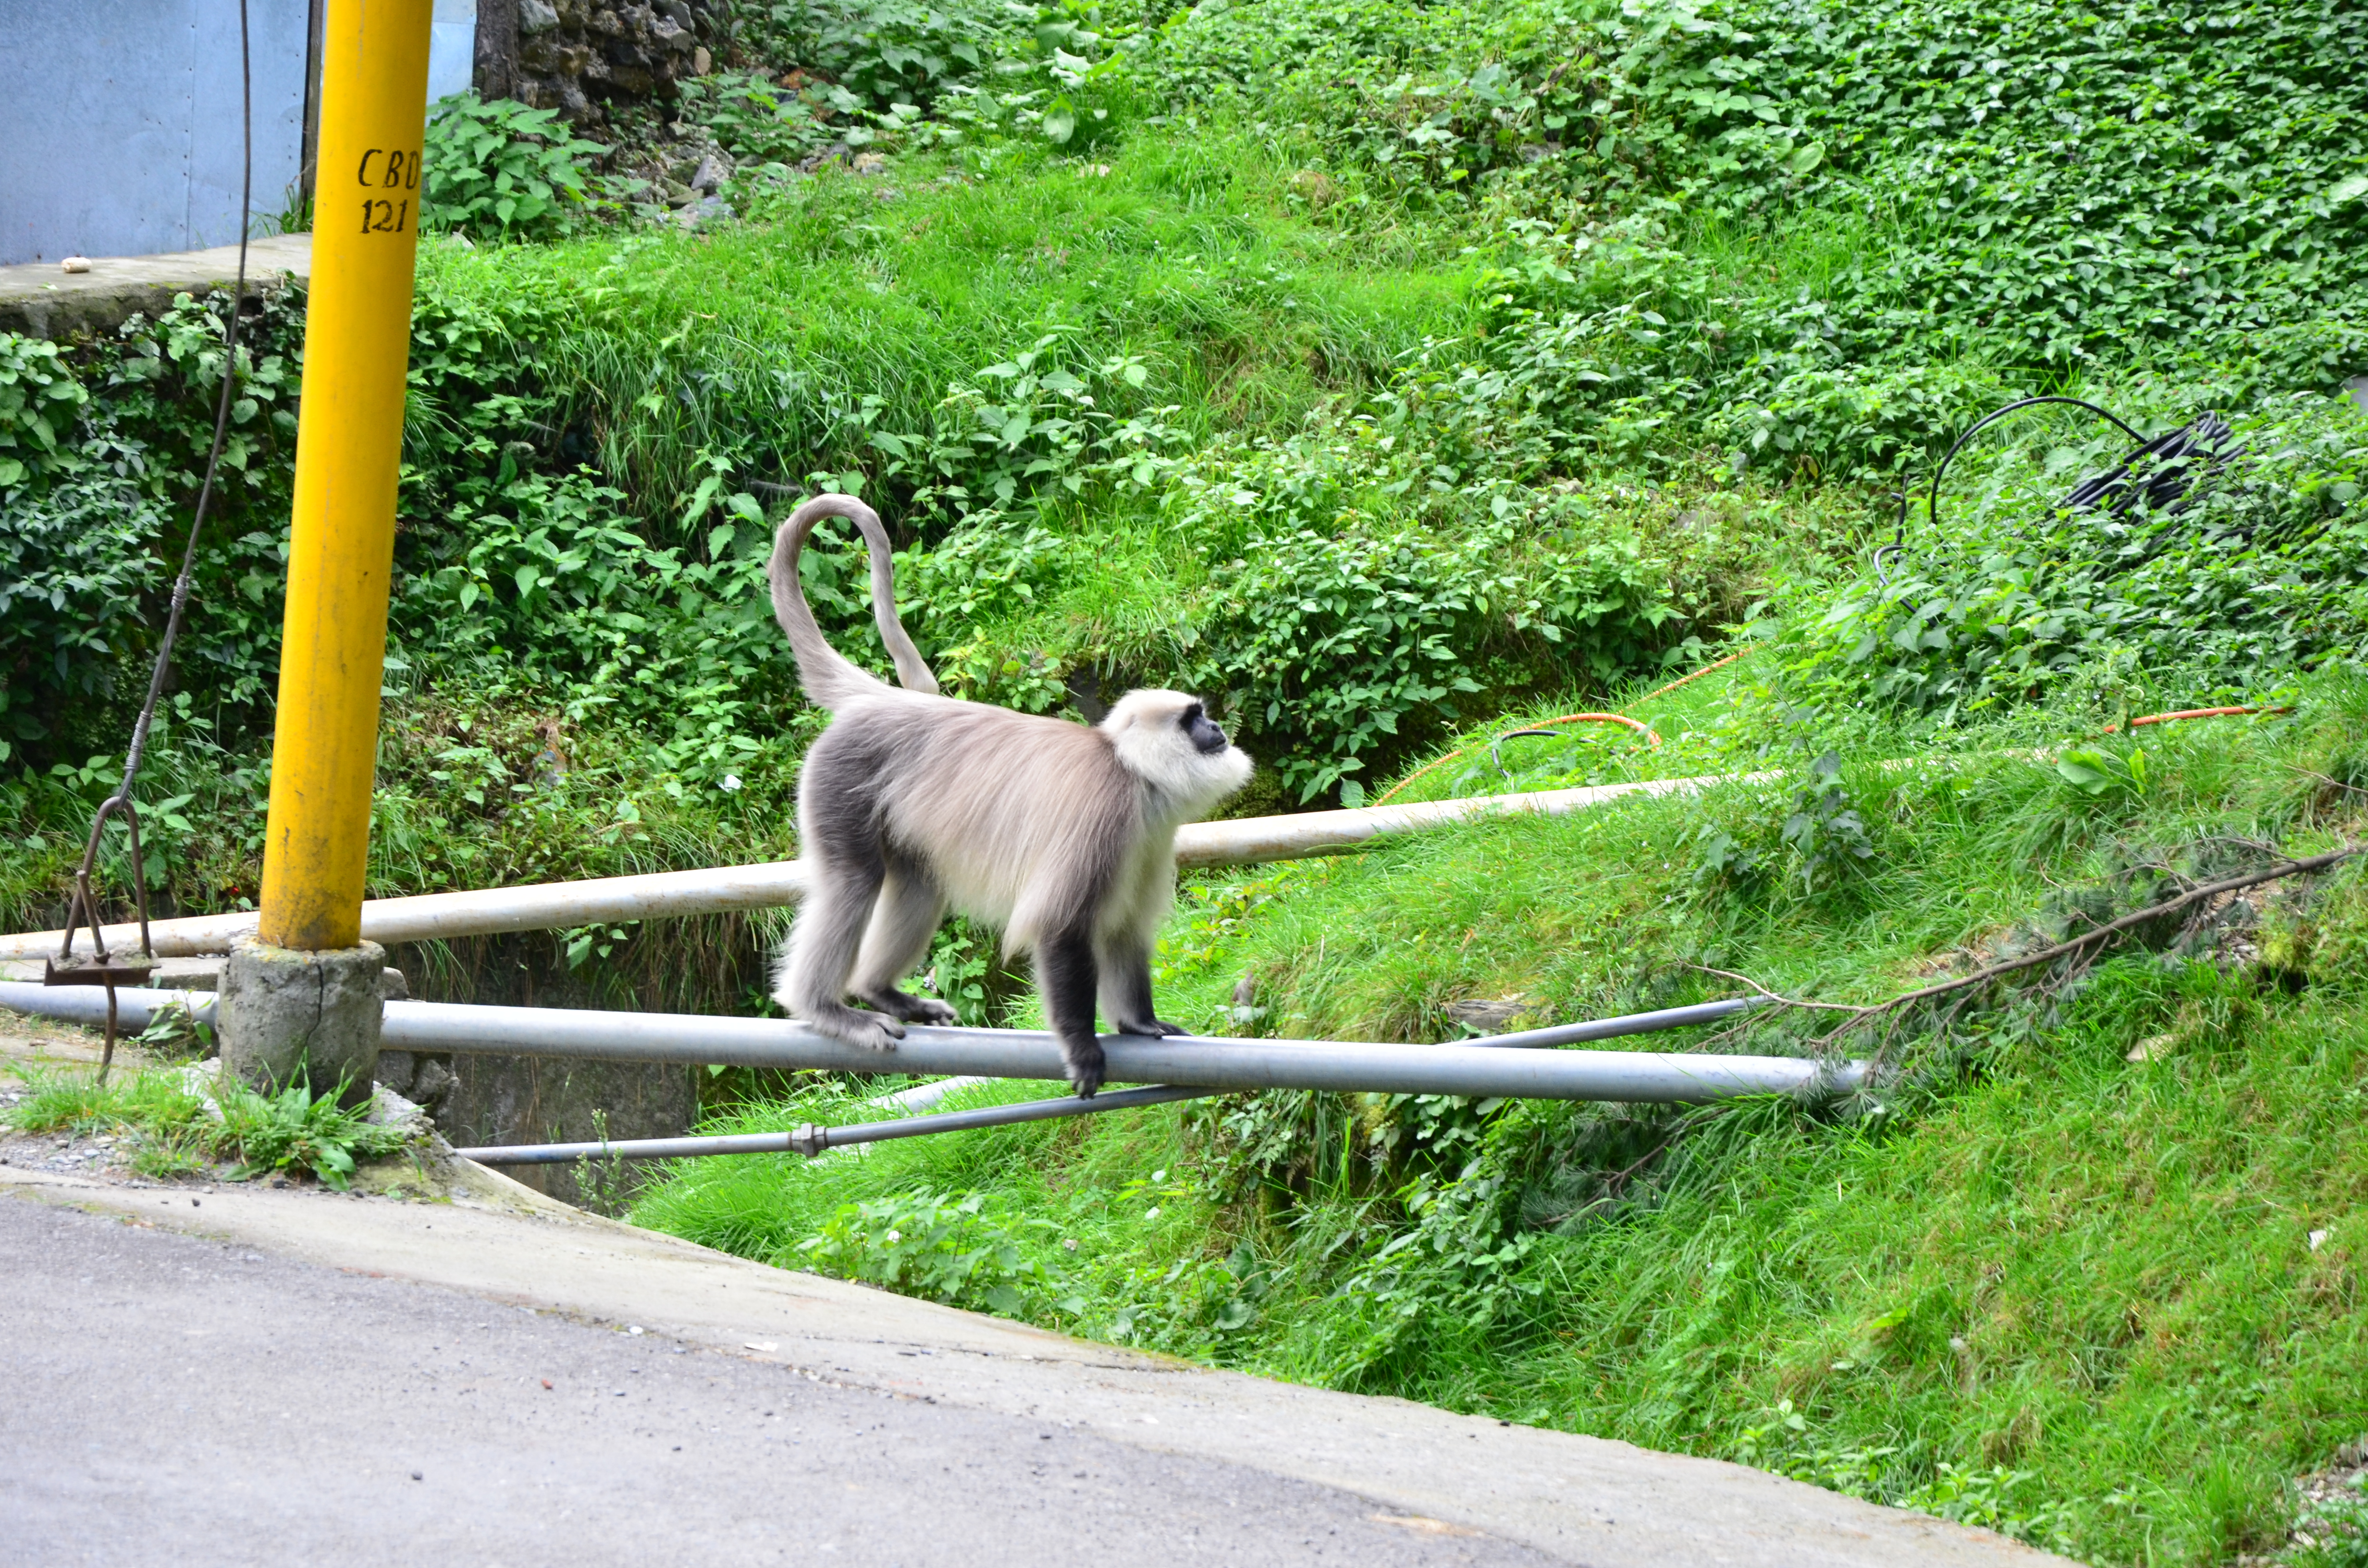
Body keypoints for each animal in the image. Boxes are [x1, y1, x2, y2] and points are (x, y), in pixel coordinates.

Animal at [772, 497, 1259, 1099]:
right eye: (1193, 720)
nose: (1216, 729)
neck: (1127, 765)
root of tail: (882, 700)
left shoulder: (1149, 831)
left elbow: (1124, 930)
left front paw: (1140, 1023)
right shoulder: (1106, 811)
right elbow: (1059, 926)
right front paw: (1081, 1046)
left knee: (919, 881)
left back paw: (883, 992)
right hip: (838, 778)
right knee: (853, 879)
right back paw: (823, 1009)